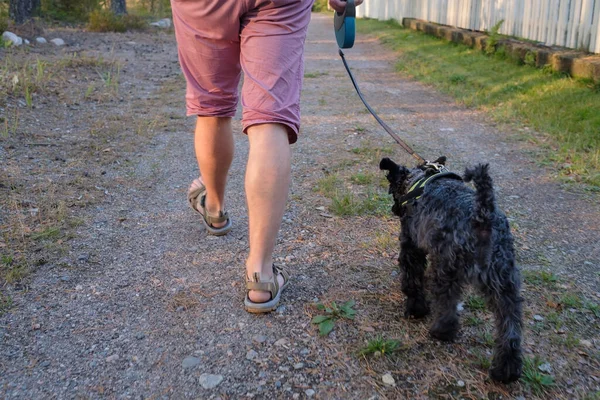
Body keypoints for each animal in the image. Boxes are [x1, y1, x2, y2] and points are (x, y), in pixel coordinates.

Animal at [382, 157, 524, 384]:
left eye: (391, 189)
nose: (394, 209)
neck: (417, 181)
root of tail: (482, 215)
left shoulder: (411, 246)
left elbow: (412, 280)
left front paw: (416, 309)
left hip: (447, 268)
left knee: (447, 302)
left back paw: (441, 331)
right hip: (504, 281)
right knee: (510, 325)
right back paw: (506, 371)